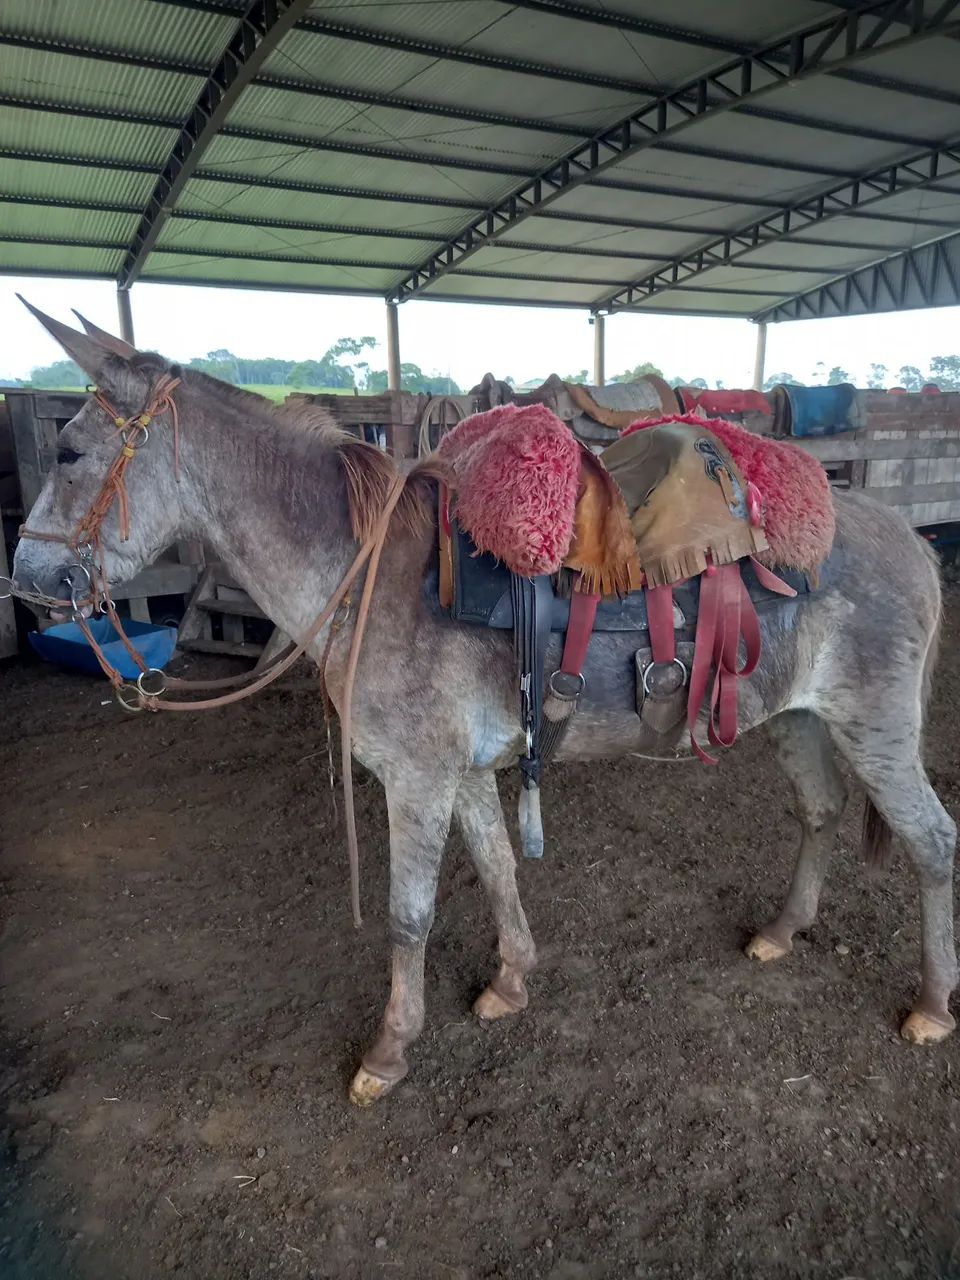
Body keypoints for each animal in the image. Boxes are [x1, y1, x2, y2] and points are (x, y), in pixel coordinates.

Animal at [11, 304, 957, 1108]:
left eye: (68, 451)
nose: (26, 581)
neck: (368, 570)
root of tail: (908, 539)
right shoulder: (457, 775)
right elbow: (499, 867)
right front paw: (510, 982)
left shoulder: (417, 781)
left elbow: (408, 917)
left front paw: (388, 1052)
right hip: (801, 719)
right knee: (822, 812)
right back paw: (782, 930)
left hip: (877, 729)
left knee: (933, 843)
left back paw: (932, 1003)